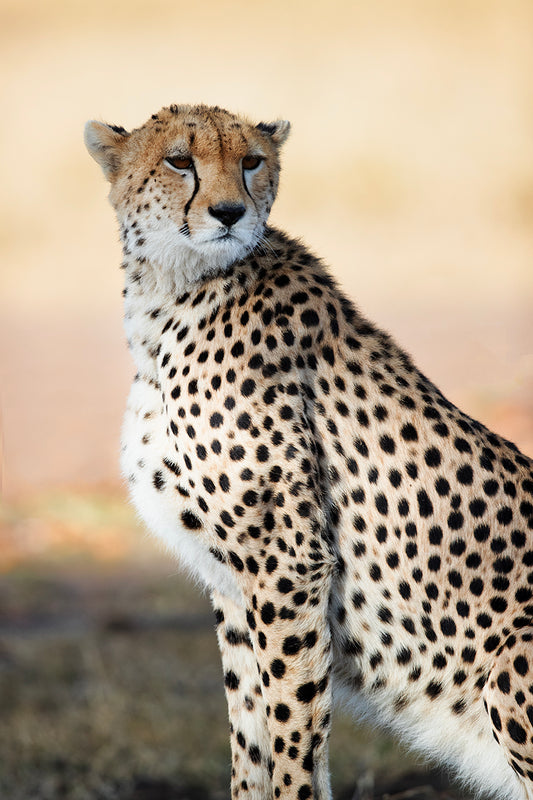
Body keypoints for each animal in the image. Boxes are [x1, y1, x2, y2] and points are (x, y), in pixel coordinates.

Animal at [84, 106, 532, 800]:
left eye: (251, 161)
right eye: (179, 160)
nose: (229, 213)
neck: (168, 294)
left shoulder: (288, 561)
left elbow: (294, 730)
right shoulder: (236, 585)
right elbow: (251, 734)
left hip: (511, 660)